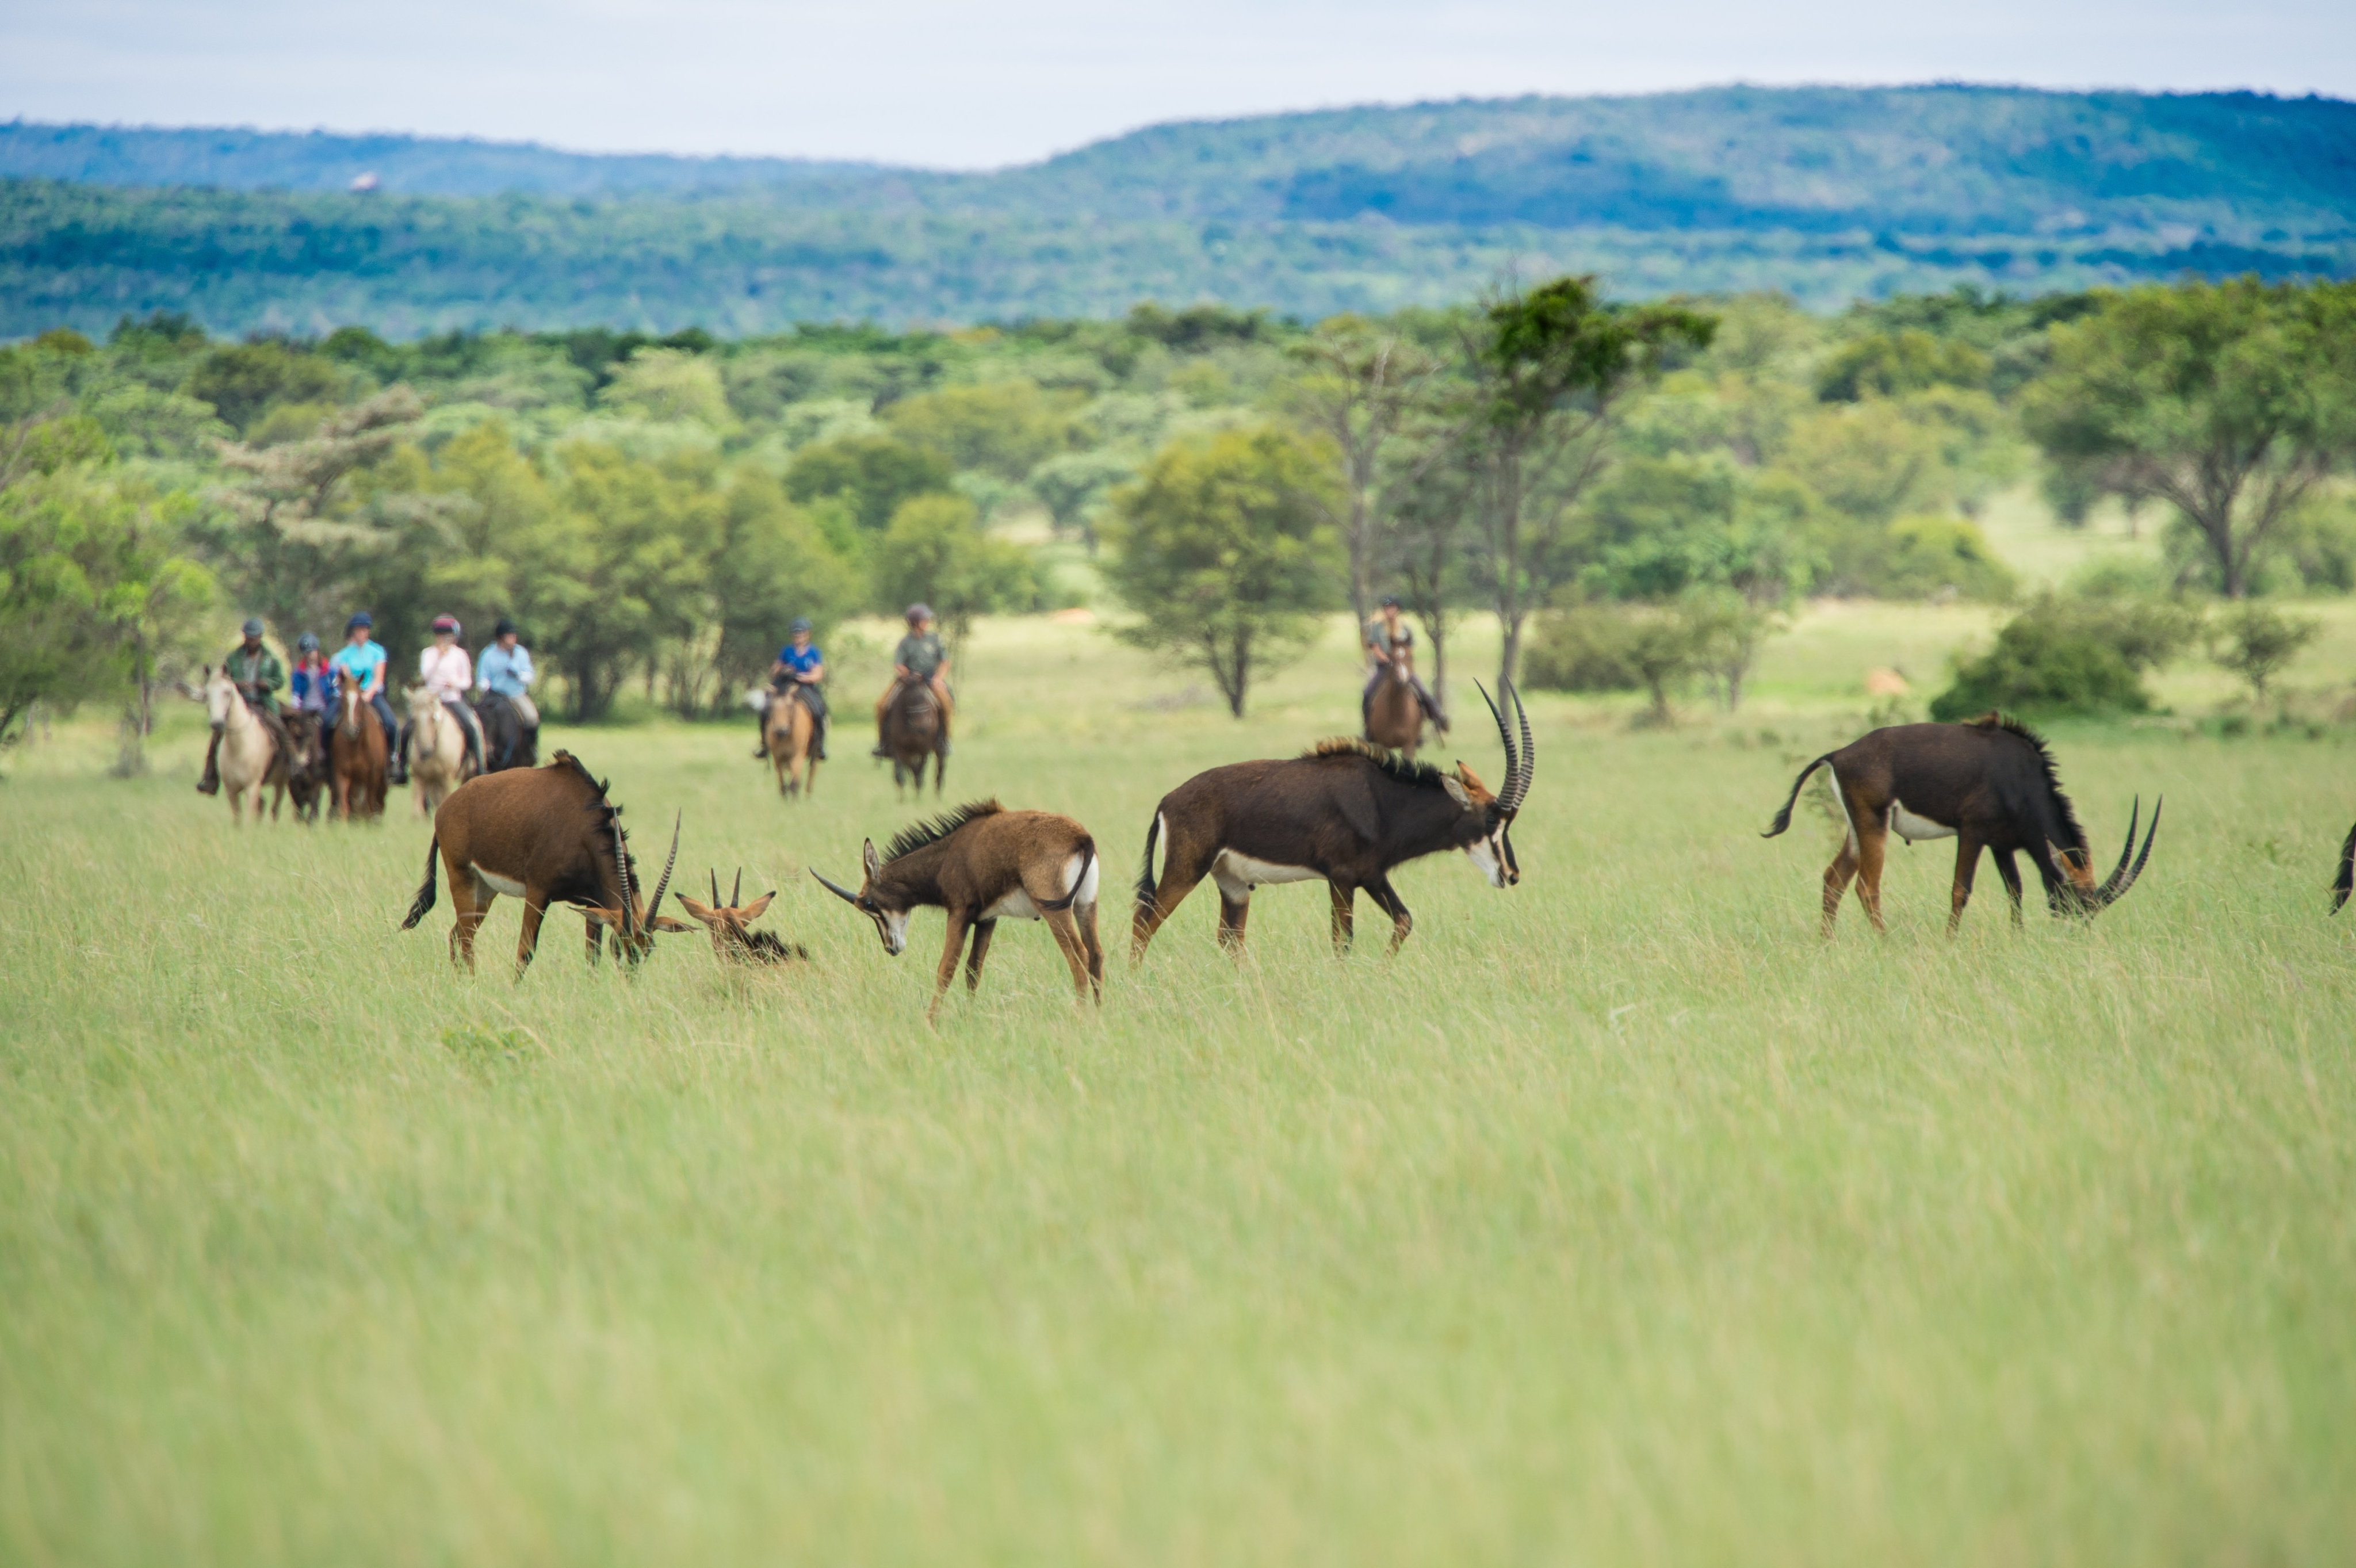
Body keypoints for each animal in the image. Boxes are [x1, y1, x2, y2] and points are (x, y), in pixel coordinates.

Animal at [330, 672, 389, 821]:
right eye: (342, 699)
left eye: (360, 700)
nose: (351, 730)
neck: (357, 746)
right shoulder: (342, 774)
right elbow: (344, 807)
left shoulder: (373, 776)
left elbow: (370, 805)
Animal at [407, 684, 473, 818]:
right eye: (413, 719)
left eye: (433, 718)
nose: (425, 752)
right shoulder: (419, 777)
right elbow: (417, 813)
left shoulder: (447, 777)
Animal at [765, 684, 819, 798]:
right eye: (772, 706)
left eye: (790, 706)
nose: (781, 730)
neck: (785, 737)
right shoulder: (777, 757)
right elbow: (782, 783)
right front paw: (784, 799)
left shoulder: (797, 756)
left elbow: (794, 783)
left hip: (814, 754)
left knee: (811, 772)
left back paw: (807, 796)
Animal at [881, 679, 947, 799]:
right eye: (908, 699)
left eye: (925, 698)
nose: (922, 727)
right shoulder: (899, 748)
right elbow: (901, 774)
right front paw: (901, 799)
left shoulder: (924, 749)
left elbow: (920, 771)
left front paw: (918, 795)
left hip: (938, 751)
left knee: (940, 770)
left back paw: (938, 795)